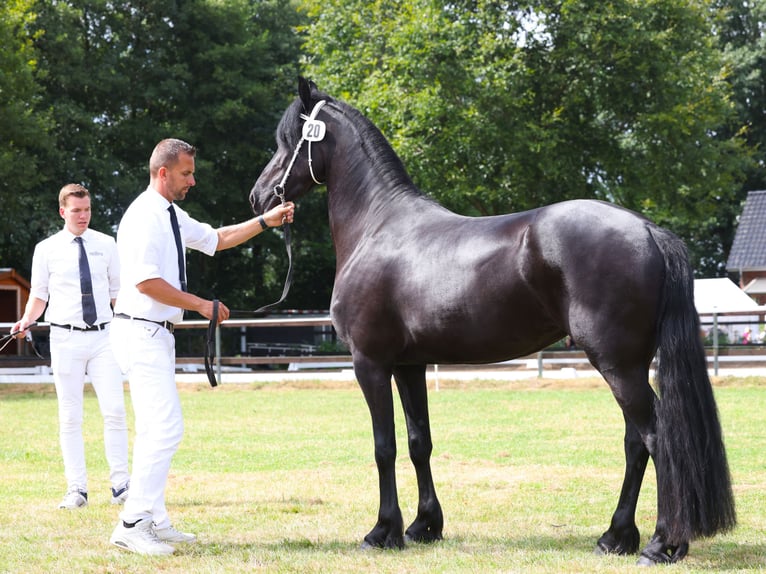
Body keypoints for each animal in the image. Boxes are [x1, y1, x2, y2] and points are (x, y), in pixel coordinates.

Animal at [252, 76, 736, 568]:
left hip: (616, 363)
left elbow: (384, 446)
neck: (377, 227)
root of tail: (647, 230)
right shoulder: (409, 365)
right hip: (631, 364)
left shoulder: (370, 362)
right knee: (635, 443)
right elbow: (419, 441)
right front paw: (424, 526)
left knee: (657, 438)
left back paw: (660, 544)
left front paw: (382, 531)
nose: (259, 196)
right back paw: (615, 537)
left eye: (287, 141)